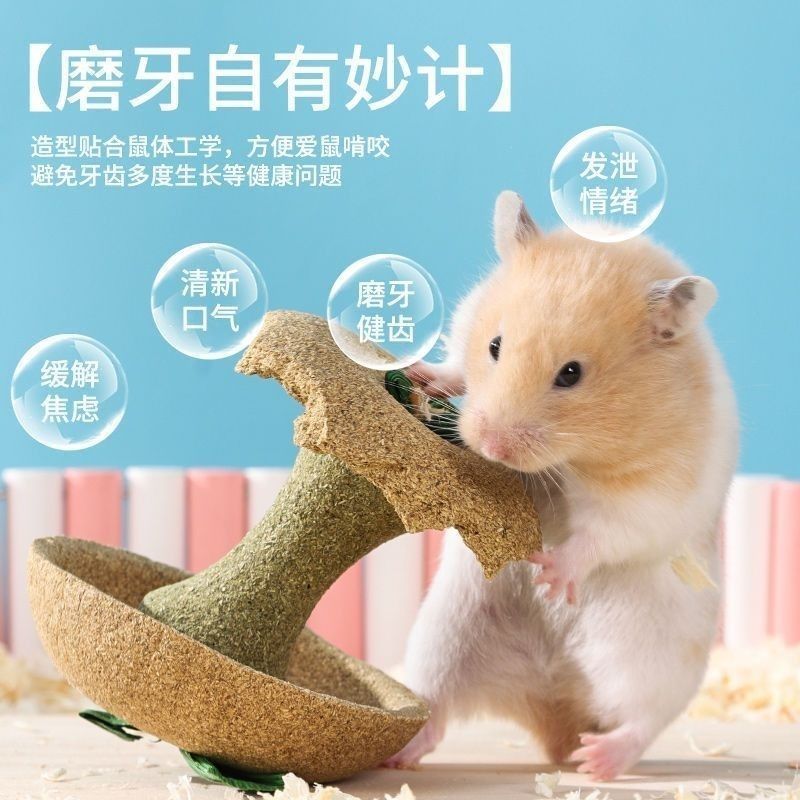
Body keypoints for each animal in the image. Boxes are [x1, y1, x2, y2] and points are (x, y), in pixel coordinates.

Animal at [385, 191, 738, 780]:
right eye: (495, 344)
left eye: (571, 374)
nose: (492, 445)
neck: (568, 462)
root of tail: (552, 702)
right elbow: (456, 365)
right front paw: (422, 374)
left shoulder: (655, 494)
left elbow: (602, 533)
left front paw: (550, 575)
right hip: (444, 634)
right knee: (435, 702)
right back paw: (402, 754)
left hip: (654, 661)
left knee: (643, 720)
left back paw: (596, 760)